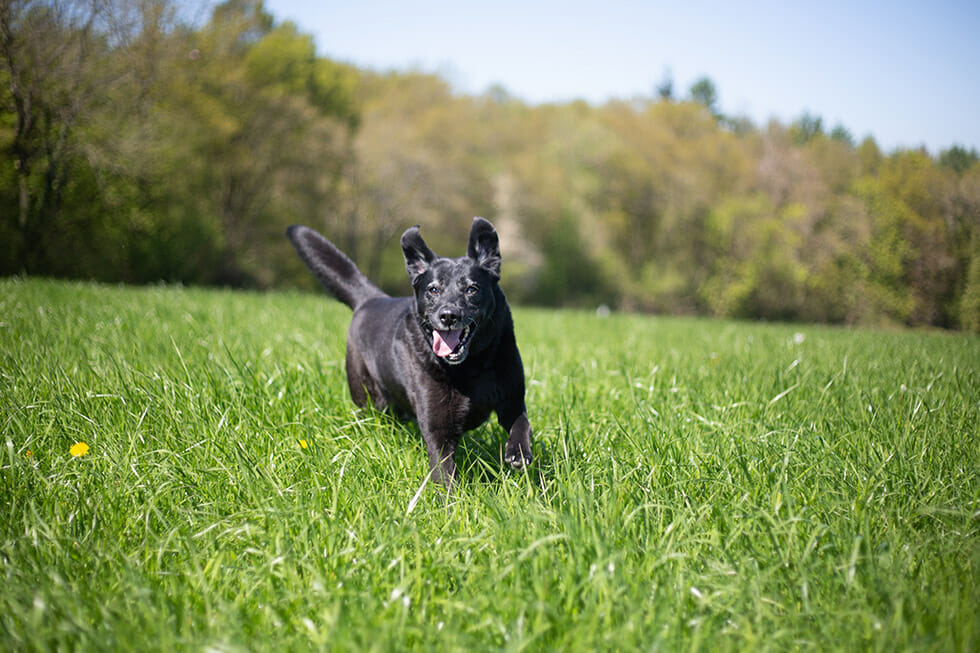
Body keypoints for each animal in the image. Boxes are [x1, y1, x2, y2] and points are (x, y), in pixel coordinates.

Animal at [288, 218, 532, 484]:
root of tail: (370, 300)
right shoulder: (438, 431)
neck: (471, 367)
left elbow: (522, 423)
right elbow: (445, 477)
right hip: (369, 397)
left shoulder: (512, 400)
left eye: (472, 289)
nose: (448, 316)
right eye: (433, 290)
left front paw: (518, 452)